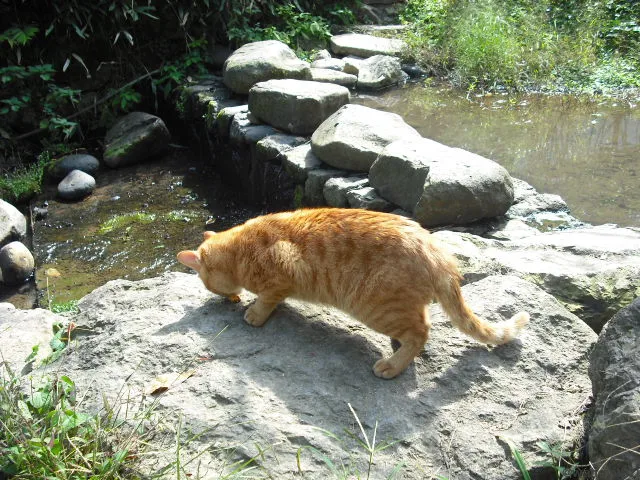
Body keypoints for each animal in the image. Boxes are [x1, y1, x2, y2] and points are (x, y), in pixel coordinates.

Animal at [176, 208, 528, 380]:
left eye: (207, 284)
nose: (226, 300)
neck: (241, 247)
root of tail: (436, 250)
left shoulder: (281, 274)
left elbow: (267, 299)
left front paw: (253, 313)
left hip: (377, 307)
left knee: (421, 332)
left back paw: (392, 365)